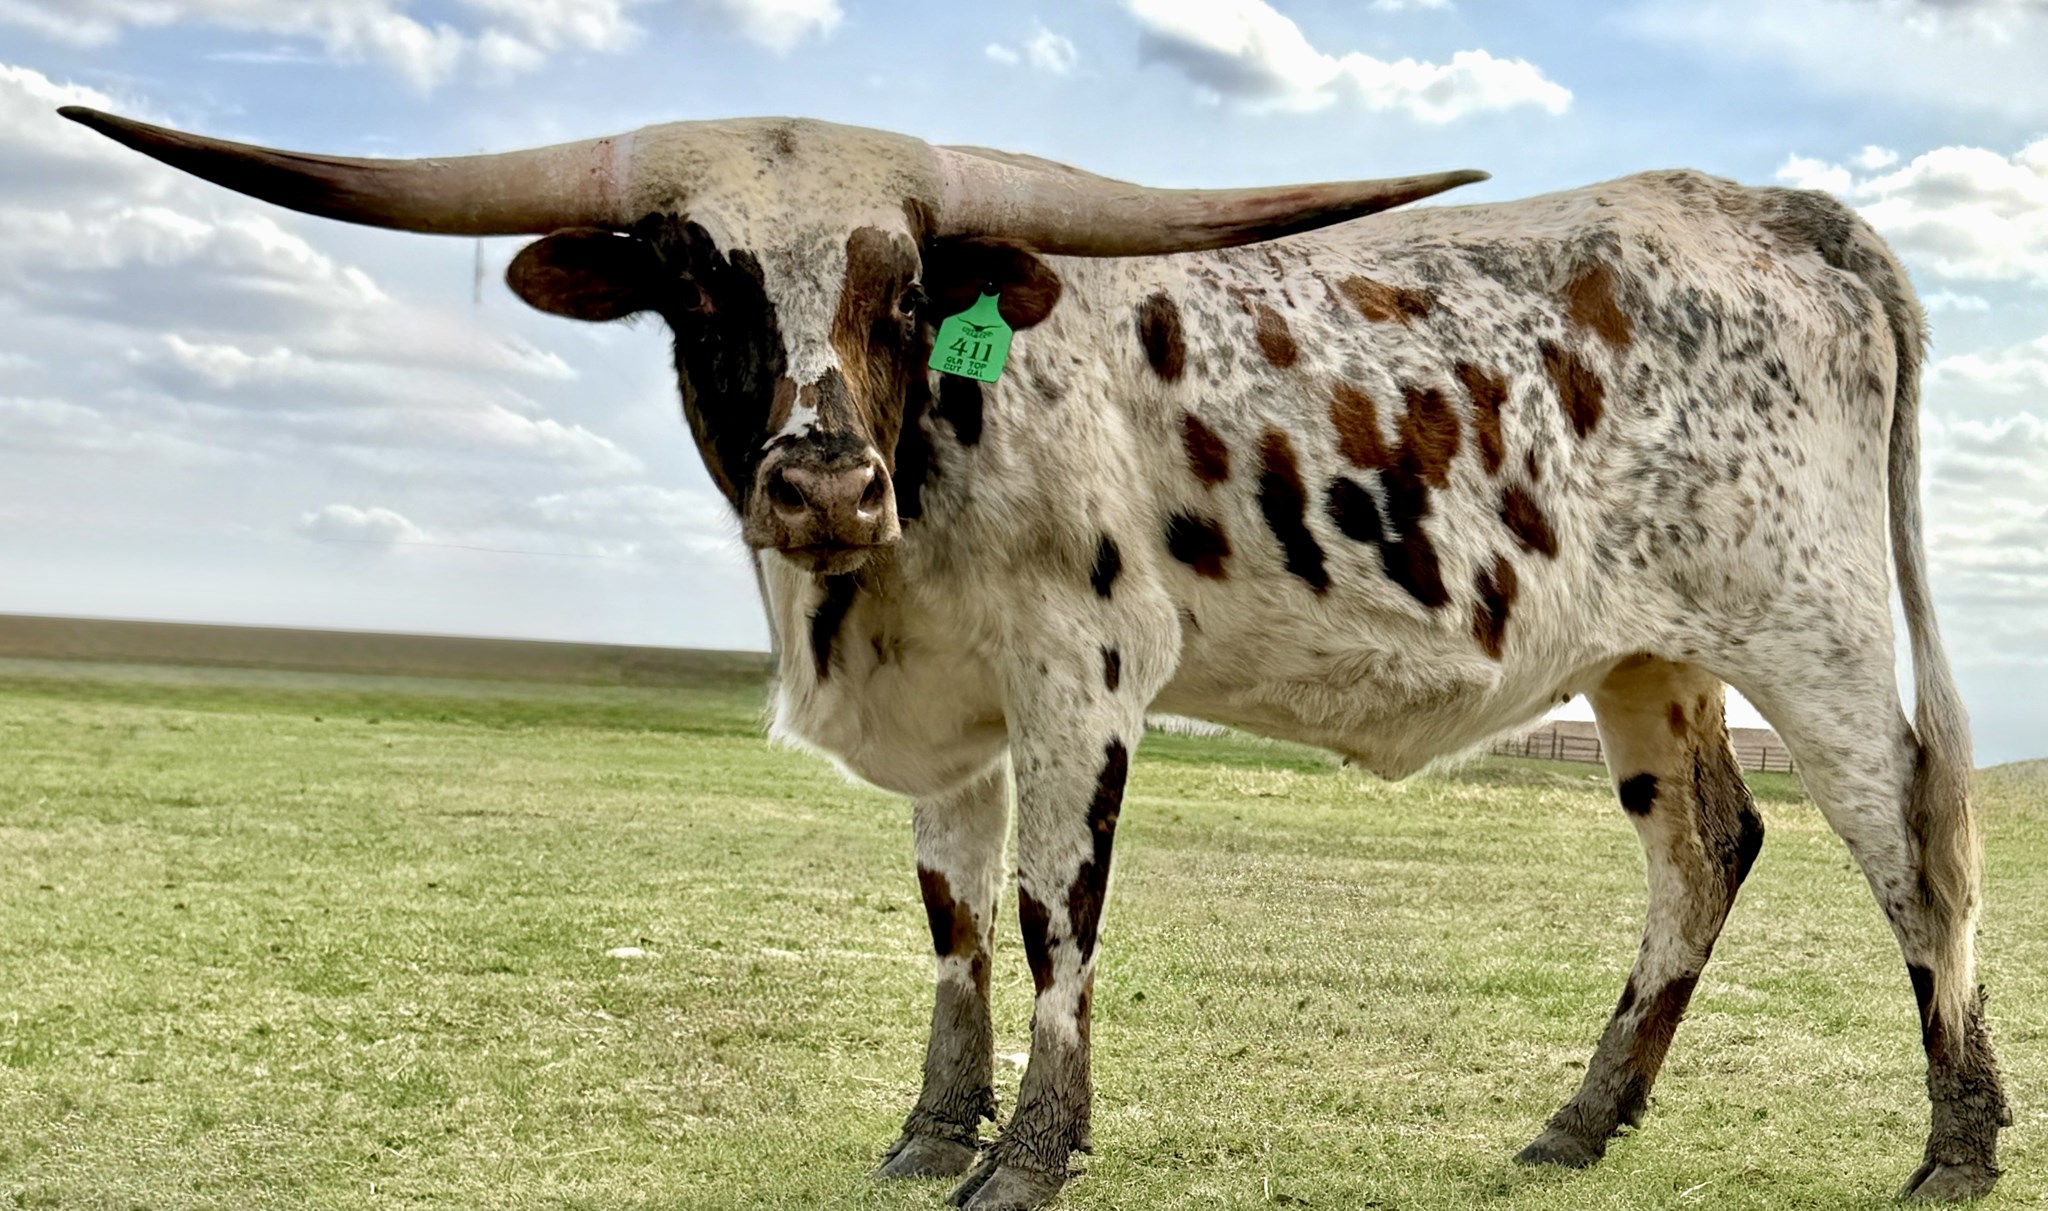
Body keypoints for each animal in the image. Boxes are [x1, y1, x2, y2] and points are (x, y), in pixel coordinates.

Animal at [60, 105, 2010, 1208]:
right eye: (693, 278)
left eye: (909, 282)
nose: (818, 478)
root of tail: (1767, 206)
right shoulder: (952, 715)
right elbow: (950, 921)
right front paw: (933, 1134)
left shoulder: (1086, 677)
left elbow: (1053, 917)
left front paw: (1028, 1157)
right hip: (1646, 654)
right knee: (1705, 842)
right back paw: (1577, 1126)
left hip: (1817, 632)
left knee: (1912, 852)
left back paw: (1955, 1146)